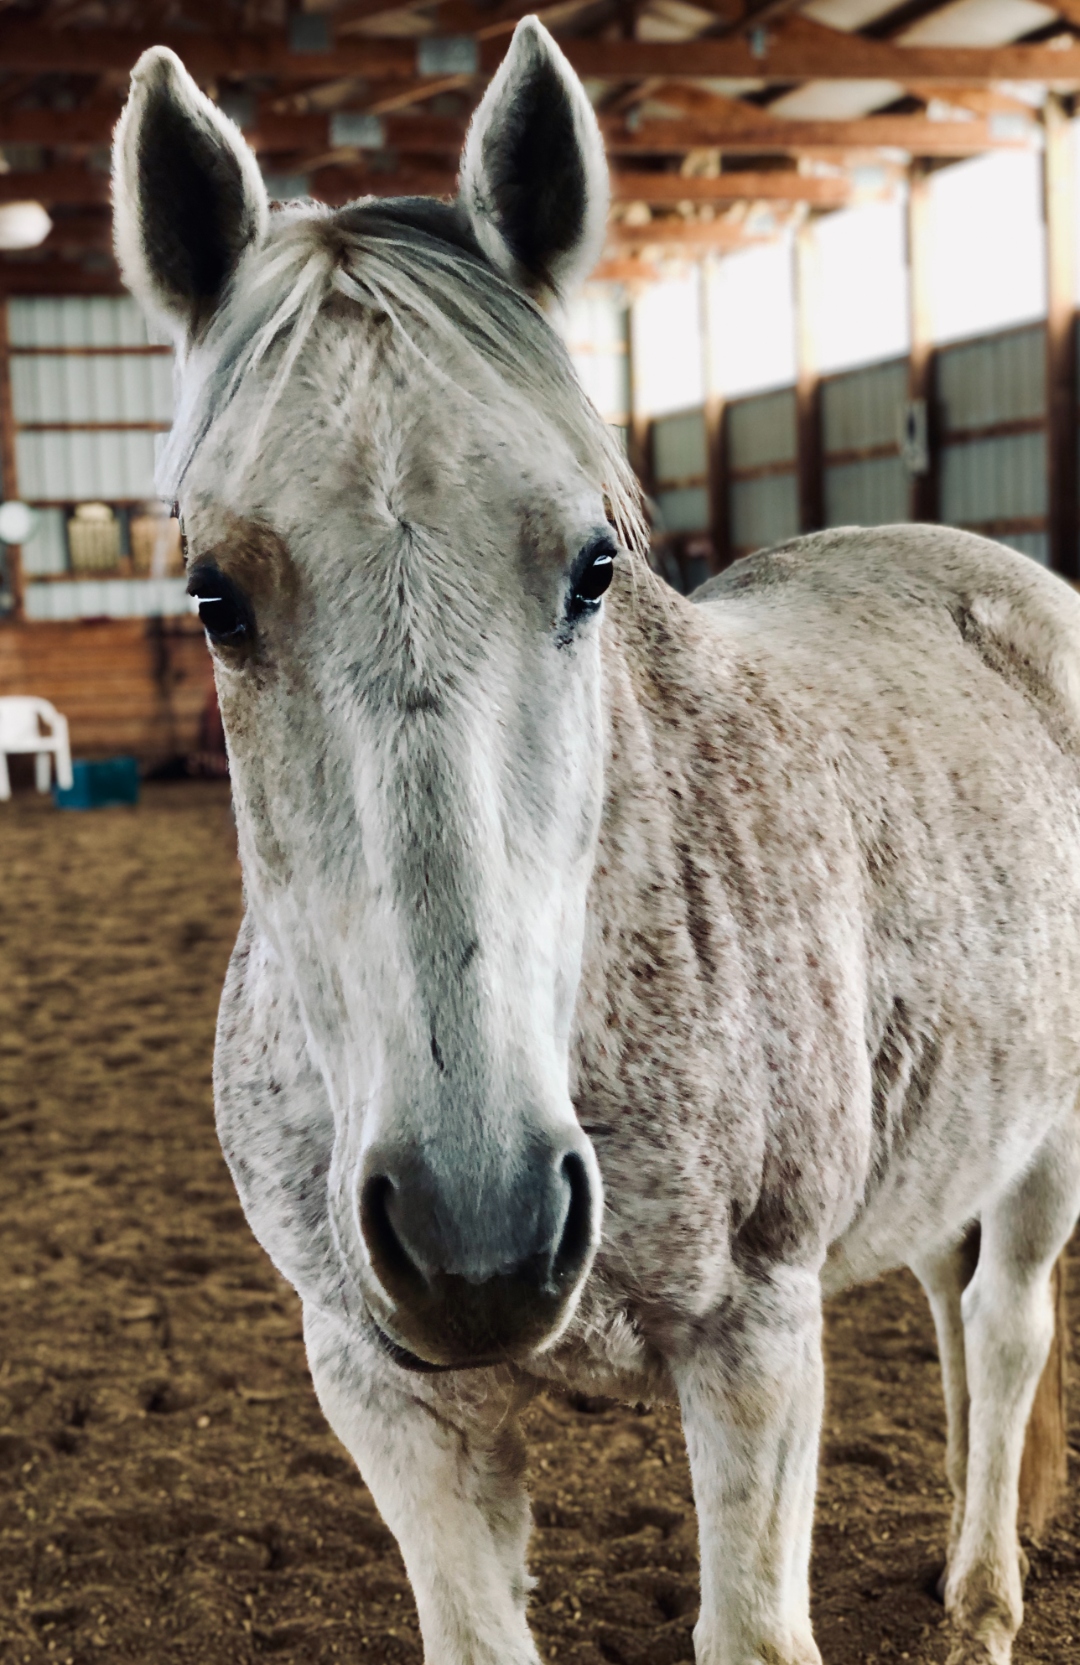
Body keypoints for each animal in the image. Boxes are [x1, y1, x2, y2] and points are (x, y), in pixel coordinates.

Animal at [113, 23, 1080, 1664]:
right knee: (957, 1310)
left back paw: (985, 1589)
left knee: (1008, 1323)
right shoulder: (378, 1387)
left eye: (593, 566)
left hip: (1055, 1136)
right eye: (213, 596)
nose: (479, 1229)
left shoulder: (757, 1339)